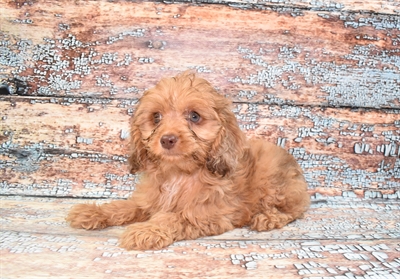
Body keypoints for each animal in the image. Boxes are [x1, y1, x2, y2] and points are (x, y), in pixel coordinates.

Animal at [65, 71, 310, 250]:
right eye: (156, 117)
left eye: (194, 116)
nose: (167, 139)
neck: (178, 172)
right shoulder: (148, 201)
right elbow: (123, 206)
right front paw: (93, 212)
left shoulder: (208, 213)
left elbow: (175, 217)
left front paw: (146, 230)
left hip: (274, 181)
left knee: (293, 210)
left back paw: (268, 218)